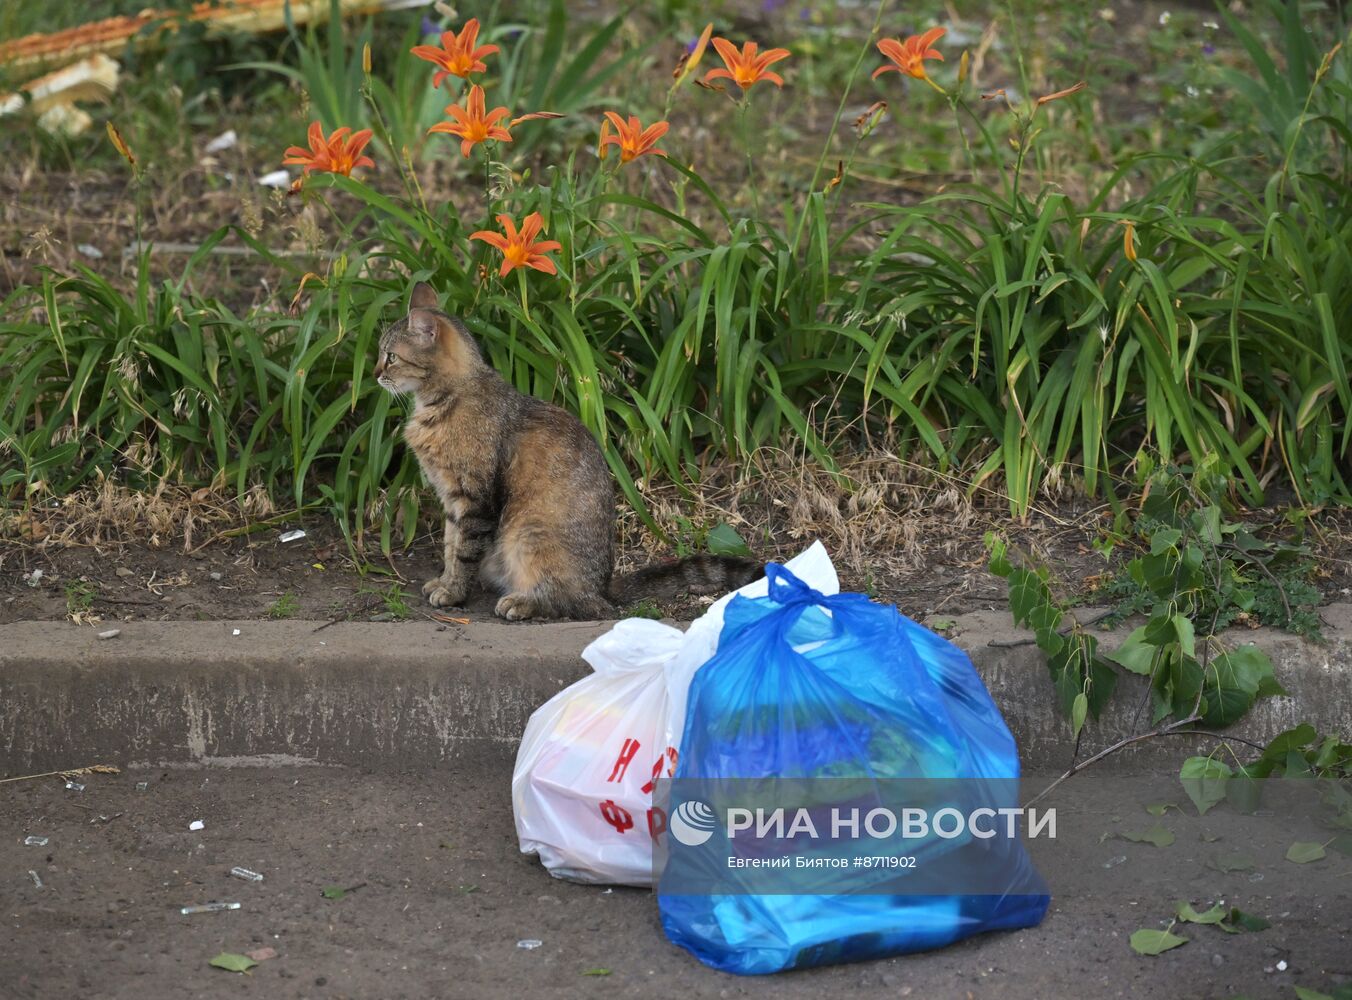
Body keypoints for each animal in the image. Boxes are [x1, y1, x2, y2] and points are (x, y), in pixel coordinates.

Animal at [373, 281, 762, 621]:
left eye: (390, 357)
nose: (375, 374)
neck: (443, 399)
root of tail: (603, 586)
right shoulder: (452, 500)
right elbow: (450, 545)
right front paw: (444, 580)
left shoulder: (474, 499)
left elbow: (464, 552)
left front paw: (453, 592)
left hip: (527, 534)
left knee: (573, 604)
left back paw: (522, 603)